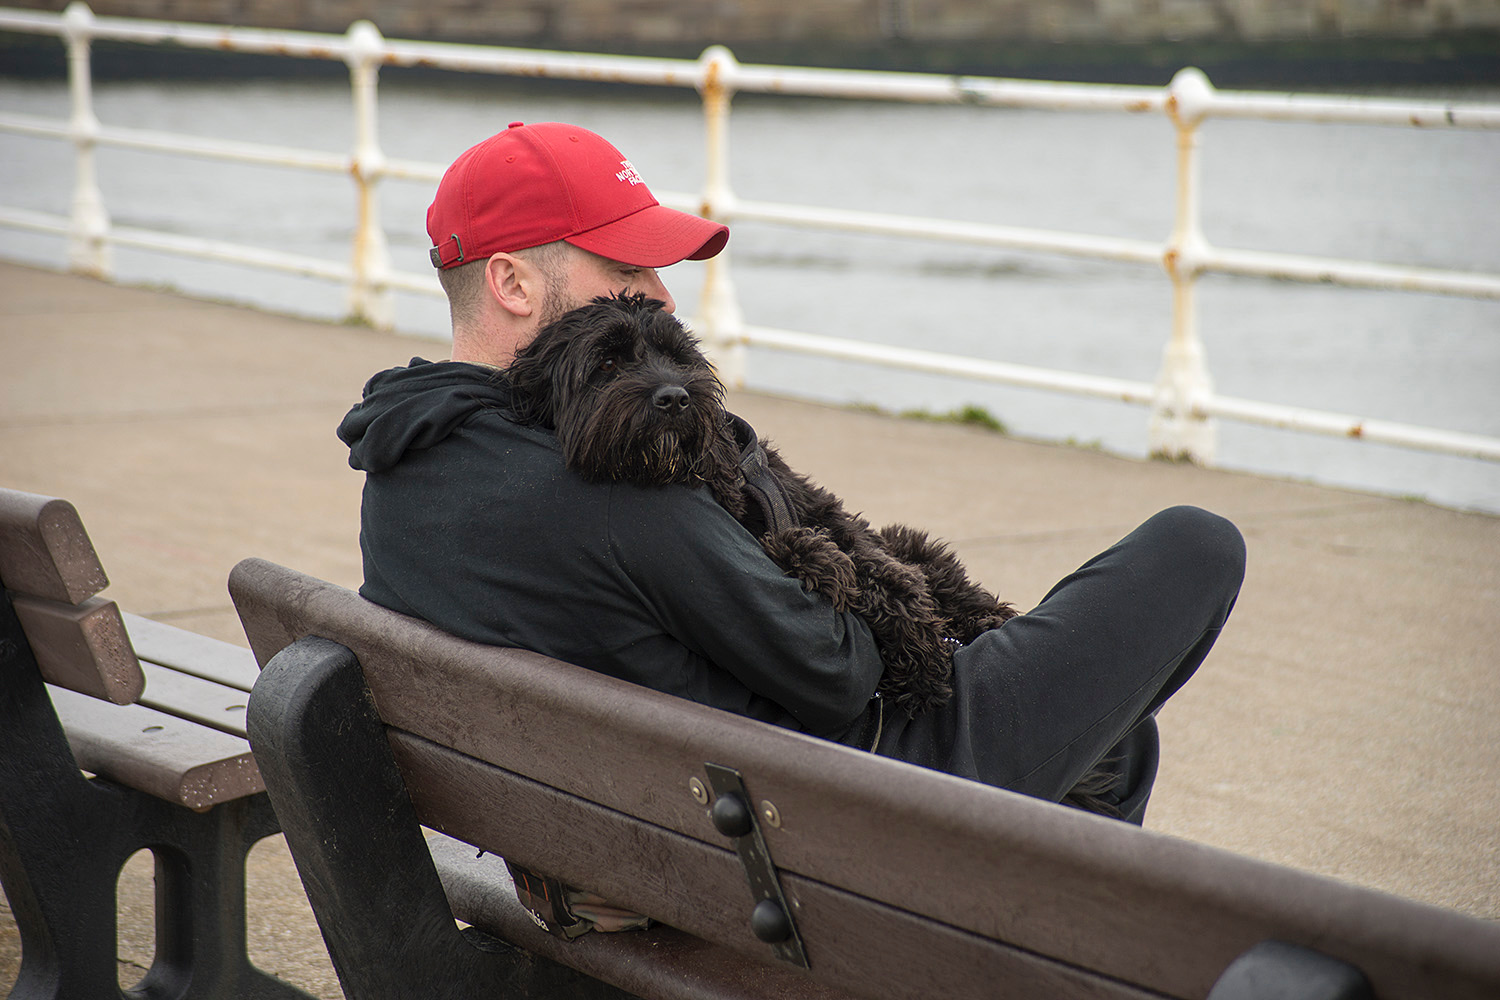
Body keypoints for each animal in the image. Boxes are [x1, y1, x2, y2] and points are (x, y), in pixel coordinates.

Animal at [507, 293, 1020, 716]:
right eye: (608, 362)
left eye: (675, 356)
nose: (675, 397)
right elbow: (808, 551)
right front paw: (816, 560)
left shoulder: (823, 511)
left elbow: (882, 570)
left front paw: (920, 656)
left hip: (908, 543)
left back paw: (983, 617)